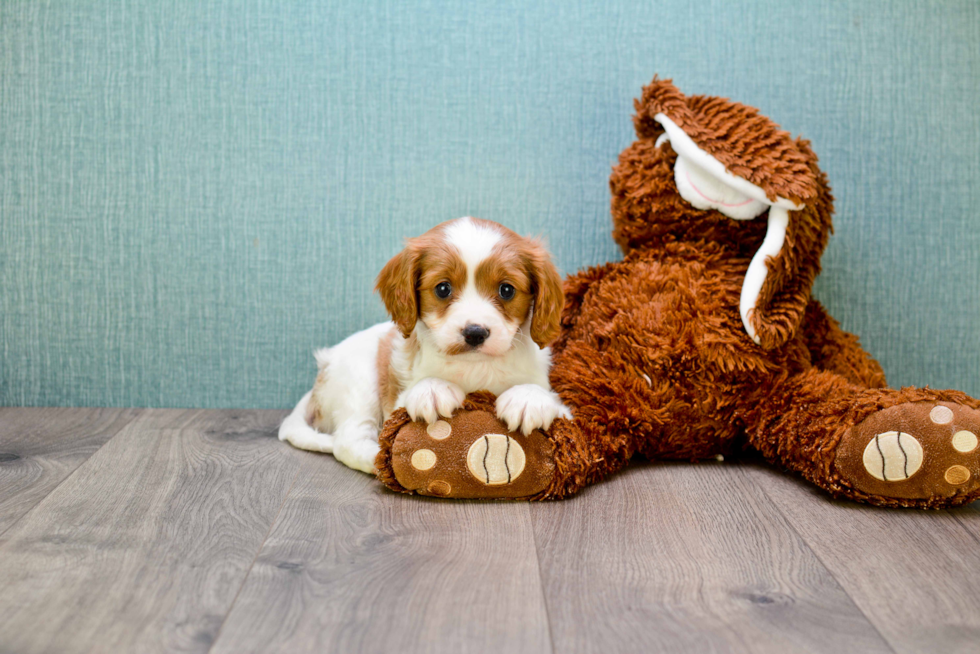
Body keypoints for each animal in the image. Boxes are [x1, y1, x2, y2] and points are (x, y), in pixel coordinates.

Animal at [280, 218, 572, 474]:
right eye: (443, 289)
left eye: (507, 290)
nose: (475, 332)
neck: (476, 366)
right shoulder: (397, 400)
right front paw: (433, 389)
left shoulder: (566, 413)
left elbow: (546, 397)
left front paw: (527, 398)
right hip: (360, 380)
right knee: (347, 441)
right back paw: (381, 461)